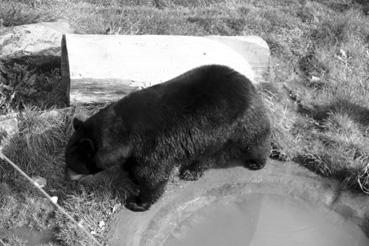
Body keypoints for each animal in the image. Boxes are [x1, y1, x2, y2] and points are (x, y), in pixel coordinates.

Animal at [64, 65, 270, 211]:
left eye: (73, 164)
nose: (66, 177)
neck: (121, 129)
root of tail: (247, 82)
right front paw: (131, 177)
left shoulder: (151, 145)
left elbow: (153, 176)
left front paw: (136, 202)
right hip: (214, 134)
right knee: (207, 154)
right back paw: (191, 171)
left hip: (241, 120)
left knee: (255, 139)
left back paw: (257, 162)